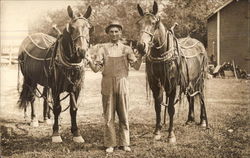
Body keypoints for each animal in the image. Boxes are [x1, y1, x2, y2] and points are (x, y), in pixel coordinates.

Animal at [17, 5, 93, 143]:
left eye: (89, 27)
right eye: (71, 28)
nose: (82, 51)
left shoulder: (76, 87)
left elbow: (73, 109)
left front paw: (76, 133)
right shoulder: (56, 88)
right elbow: (57, 108)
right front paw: (56, 133)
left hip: (46, 81)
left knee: (46, 96)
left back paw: (47, 118)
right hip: (30, 78)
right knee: (32, 97)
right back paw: (34, 119)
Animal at [136, 1, 208, 143]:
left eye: (154, 23)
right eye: (139, 23)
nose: (141, 46)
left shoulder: (172, 85)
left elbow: (170, 108)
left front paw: (171, 135)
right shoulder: (155, 84)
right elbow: (158, 106)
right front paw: (157, 132)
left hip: (200, 79)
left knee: (201, 96)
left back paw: (203, 121)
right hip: (189, 80)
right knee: (190, 96)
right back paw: (190, 119)